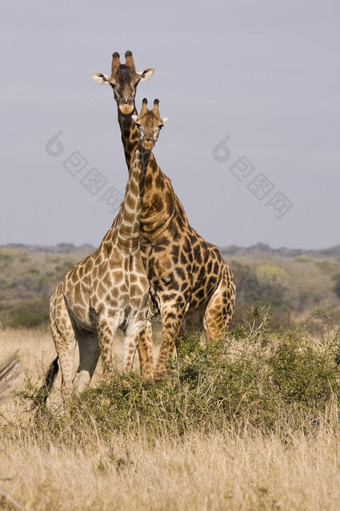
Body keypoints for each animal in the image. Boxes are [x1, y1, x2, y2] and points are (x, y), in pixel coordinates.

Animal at [39, 97, 167, 404]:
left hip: (88, 335)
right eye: (137, 123)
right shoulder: (109, 319)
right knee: (65, 386)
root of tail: (55, 292)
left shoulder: (135, 320)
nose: (147, 141)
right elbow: (109, 379)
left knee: (79, 382)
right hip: (63, 329)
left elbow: (125, 375)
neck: (128, 246)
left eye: (160, 125)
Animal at [93, 52, 236, 380]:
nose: (126, 108)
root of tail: (228, 271)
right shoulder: (144, 303)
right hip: (193, 321)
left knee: (218, 357)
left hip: (217, 314)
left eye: (136, 81)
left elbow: (159, 371)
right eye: (111, 83)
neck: (150, 221)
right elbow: (148, 368)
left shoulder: (174, 298)